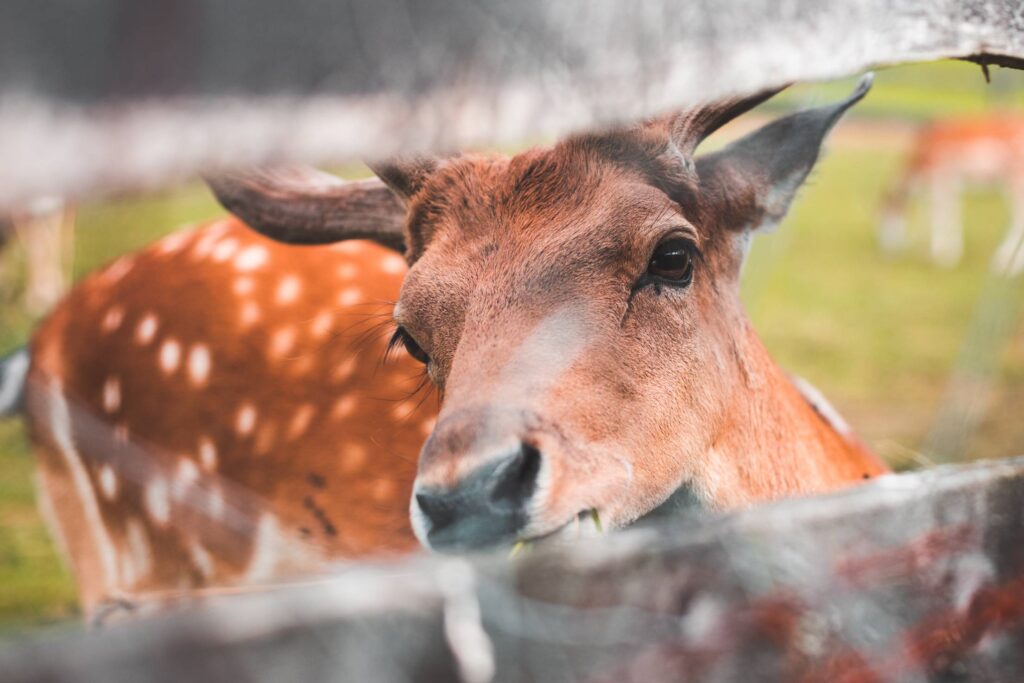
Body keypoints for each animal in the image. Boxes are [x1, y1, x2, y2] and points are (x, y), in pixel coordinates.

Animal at [876, 114, 1024, 272]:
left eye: (884, 218)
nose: (886, 252)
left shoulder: (941, 175)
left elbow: (941, 213)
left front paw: (941, 256)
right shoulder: (951, 182)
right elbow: (948, 211)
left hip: (1015, 176)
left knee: (1019, 218)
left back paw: (1004, 265)